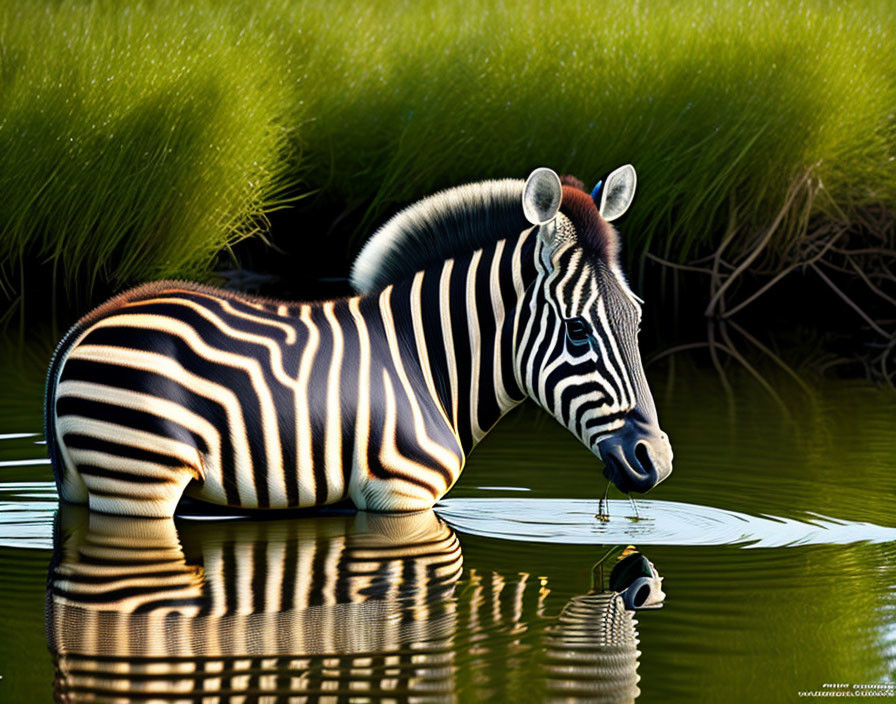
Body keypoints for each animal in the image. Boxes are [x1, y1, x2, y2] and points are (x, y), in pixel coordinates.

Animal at [43, 165, 672, 516]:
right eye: (577, 331)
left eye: (639, 320)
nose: (658, 462)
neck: (427, 363)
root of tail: (79, 331)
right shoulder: (400, 493)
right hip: (139, 477)